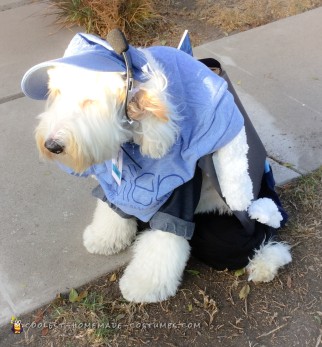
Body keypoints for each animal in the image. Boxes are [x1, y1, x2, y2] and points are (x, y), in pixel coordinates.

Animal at [22, 33, 292, 304]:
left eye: (89, 100)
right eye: (56, 92)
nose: (52, 145)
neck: (133, 140)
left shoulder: (179, 193)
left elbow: (165, 239)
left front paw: (143, 284)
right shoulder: (121, 187)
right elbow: (113, 209)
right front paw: (105, 238)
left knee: (260, 237)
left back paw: (265, 263)